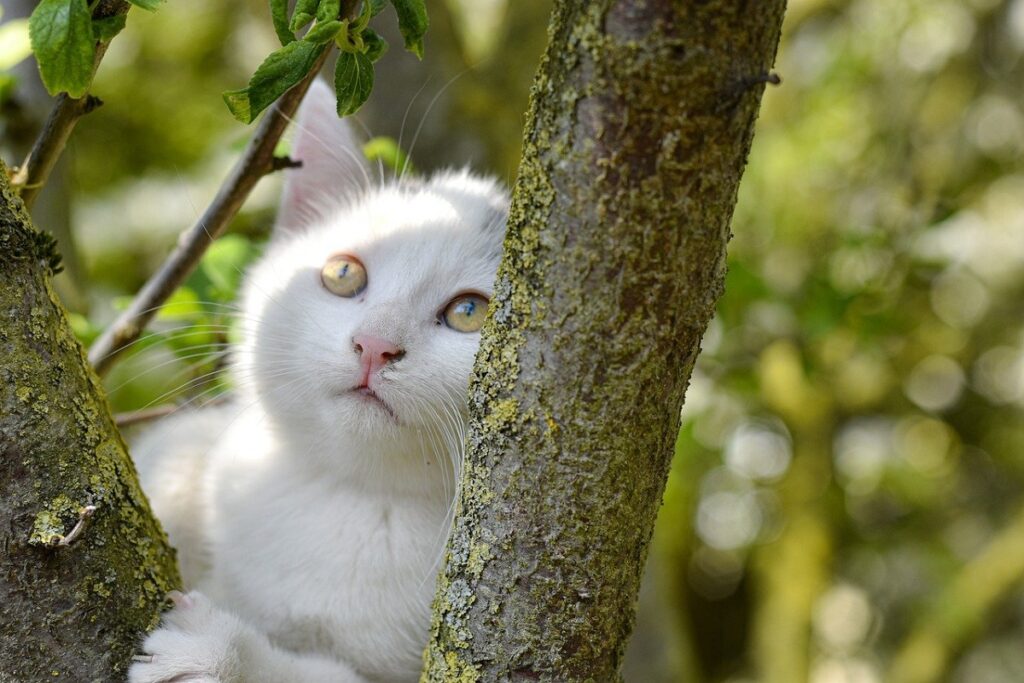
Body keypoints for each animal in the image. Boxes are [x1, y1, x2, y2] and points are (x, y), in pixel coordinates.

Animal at [128, 77, 507, 679]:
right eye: (343, 274)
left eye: (470, 312)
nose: (374, 344)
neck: (351, 496)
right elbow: (172, 453)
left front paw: (220, 654)